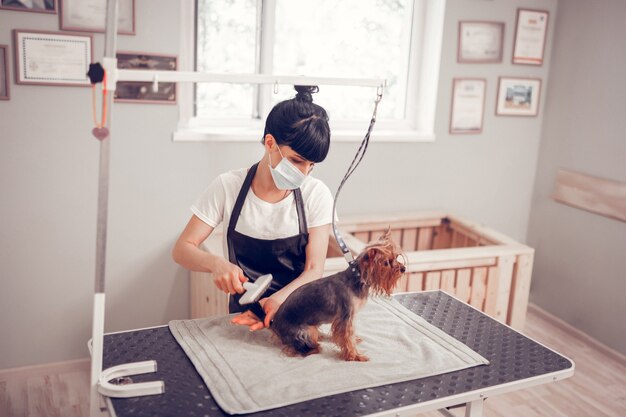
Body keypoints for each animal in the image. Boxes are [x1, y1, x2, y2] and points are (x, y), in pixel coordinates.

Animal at [268, 231, 404, 360]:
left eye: (397, 257)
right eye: (386, 263)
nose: (403, 268)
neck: (357, 277)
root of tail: (274, 325)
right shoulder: (346, 316)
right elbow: (347, 337)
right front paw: (354, 356)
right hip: (304, 331)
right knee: (298, 347)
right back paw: (314, 347)